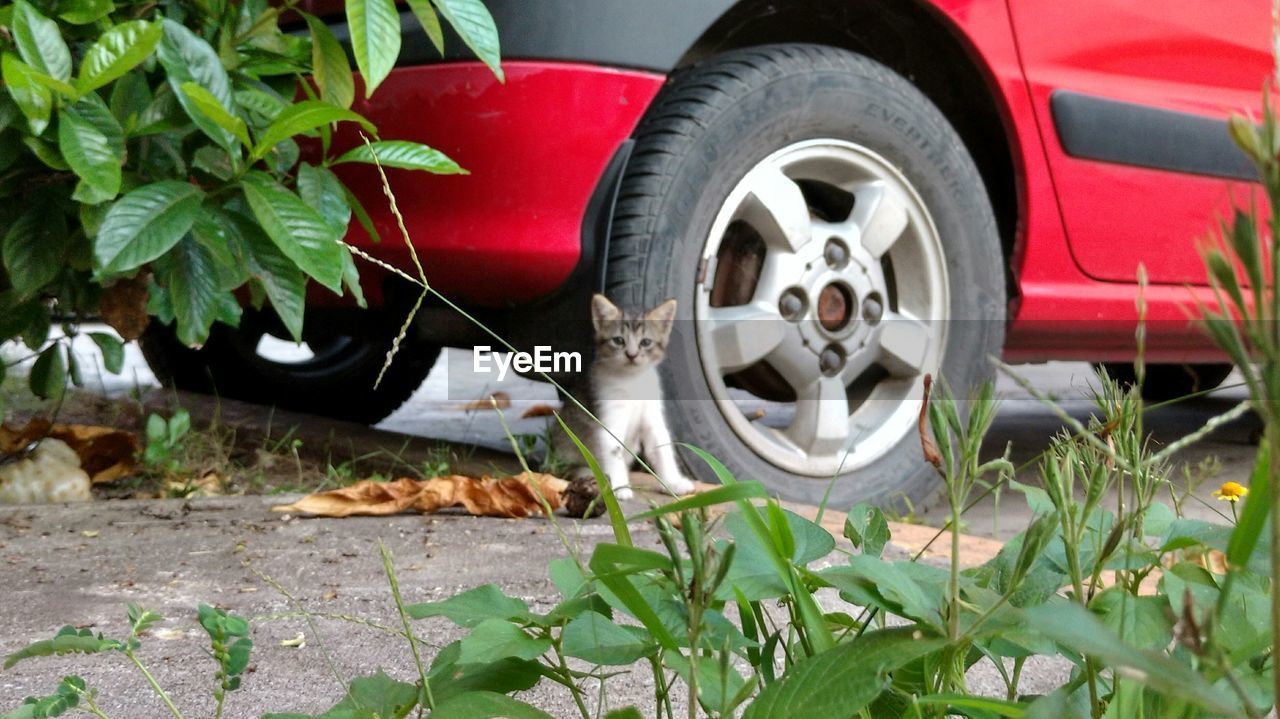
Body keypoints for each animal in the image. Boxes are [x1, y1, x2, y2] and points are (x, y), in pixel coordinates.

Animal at [552, 291, 696, 498]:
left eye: (646, 342)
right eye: (619, 340)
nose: (632, 354)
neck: (632, 380)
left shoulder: (652, 416)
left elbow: (662, 448)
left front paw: (673, 482)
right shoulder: (610, 417)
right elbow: (613, 450)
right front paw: (619, 488)